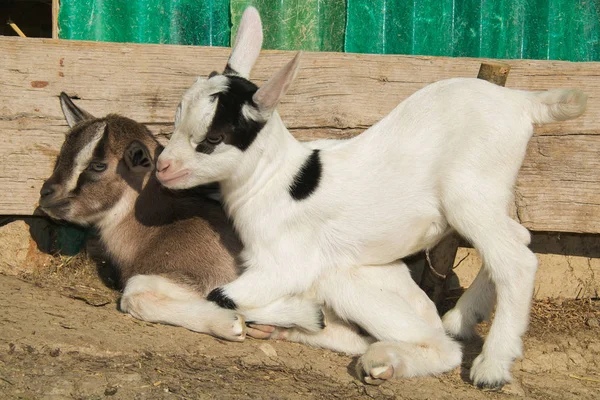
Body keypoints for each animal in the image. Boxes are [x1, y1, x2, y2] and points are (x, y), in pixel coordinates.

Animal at [157, 7, 588, 388]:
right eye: (176, 119)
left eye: (213, 138)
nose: (162, 167)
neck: (275, 177)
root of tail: (523, 103)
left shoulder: (282, 264)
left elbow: (221, 295)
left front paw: (299, 314)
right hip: (486, 195)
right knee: (517, 238)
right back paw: (459, 319)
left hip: (465, 196)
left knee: (513, 262)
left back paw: (489, 366)